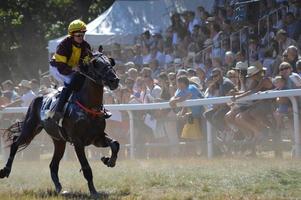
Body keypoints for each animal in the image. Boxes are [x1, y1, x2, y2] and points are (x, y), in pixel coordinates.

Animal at [0, 52, 119, 198]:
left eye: (110, 62)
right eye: (96, 63)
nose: (114, 80)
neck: (88, 107)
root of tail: (38, 96)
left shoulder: (97, 138)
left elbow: (115, 144)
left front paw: (109, 160)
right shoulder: (78, 142)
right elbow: (86, 168)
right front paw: (93, 192)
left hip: (59, 141)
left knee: (53, 164)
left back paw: (59, 187)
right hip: (30, 128)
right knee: (15, 143)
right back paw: (5, 170)